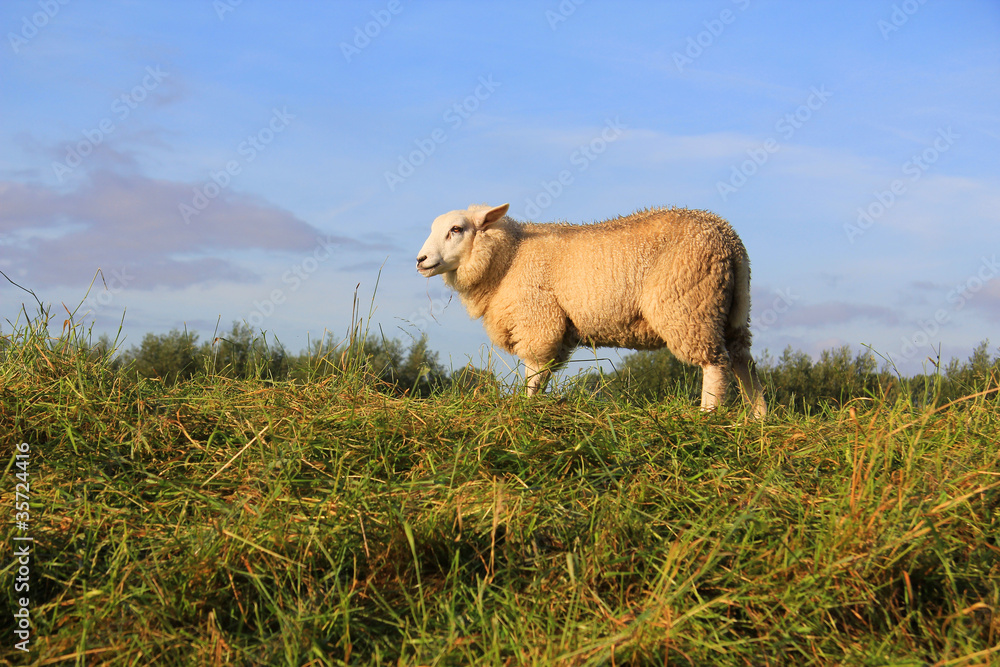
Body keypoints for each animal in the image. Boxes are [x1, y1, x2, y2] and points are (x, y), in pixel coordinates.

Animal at [414, 202, 764, 418]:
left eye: (456, 229)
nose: (421, 260)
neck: (510, 257)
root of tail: (728, 238)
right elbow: (543, 373)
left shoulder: (539, 321)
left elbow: (534, 374)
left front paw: (527, 407)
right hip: (731, 310)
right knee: (742, 361)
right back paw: (758, 417)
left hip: (690, 306)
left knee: (716, 364)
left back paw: (707, 415)